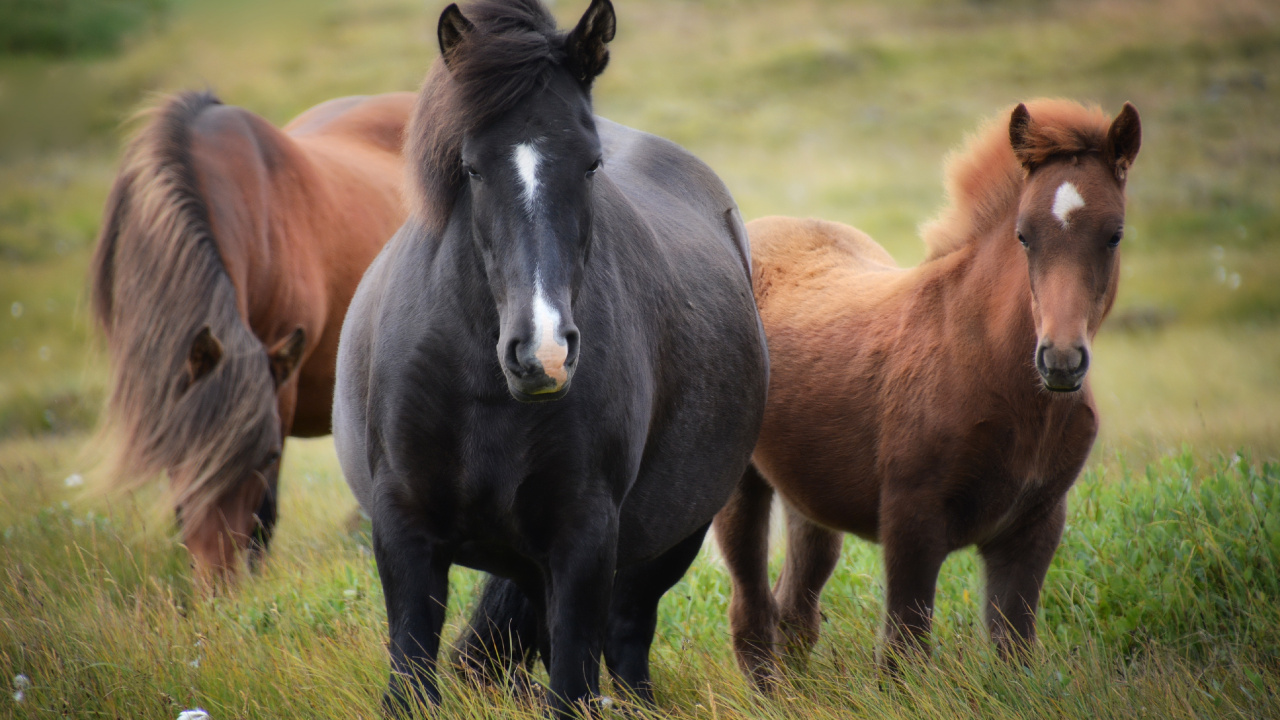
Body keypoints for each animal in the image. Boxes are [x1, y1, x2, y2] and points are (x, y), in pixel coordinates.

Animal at [331, 0, 768, 715]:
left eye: (590, 165)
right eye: (471, 167)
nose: (544, 354)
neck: (481, 388)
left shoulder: (584, 539)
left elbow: (572, 681)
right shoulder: (404, 531)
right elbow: (412, 678)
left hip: (671, 539)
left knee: (626, 639)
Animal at [713, 99, 1141, 686]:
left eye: (1115, 234)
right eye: (1024, 234)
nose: (1060, 361)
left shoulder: (1034, 527)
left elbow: (1014, 650)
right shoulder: (911, 520)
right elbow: (903, 653)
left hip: (809, 496)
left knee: (794, 609)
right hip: (739, 485)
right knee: (751, 611)